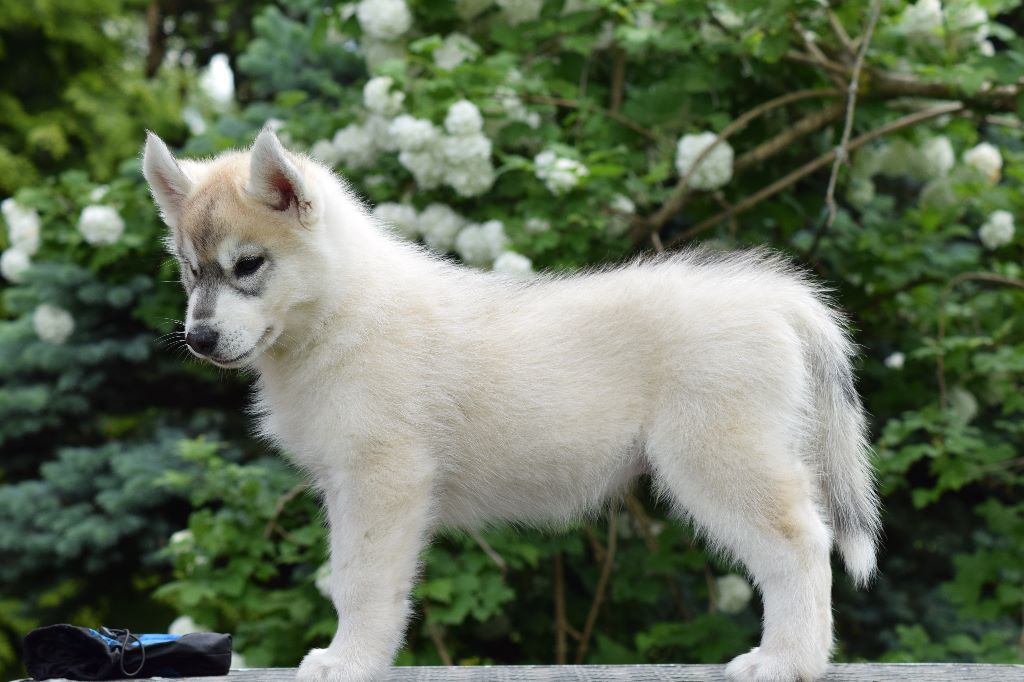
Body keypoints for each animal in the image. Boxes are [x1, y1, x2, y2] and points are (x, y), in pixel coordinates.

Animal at [143, 128, 880, 682]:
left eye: (248, 265)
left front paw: (350, 661)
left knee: (801, 543)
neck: (343, 309)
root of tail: (774, 296)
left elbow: (358, 582)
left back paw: (788, 660)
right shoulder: (348, 485)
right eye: (190, 270)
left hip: (719, 459)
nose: (199, 339)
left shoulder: (382, 481)